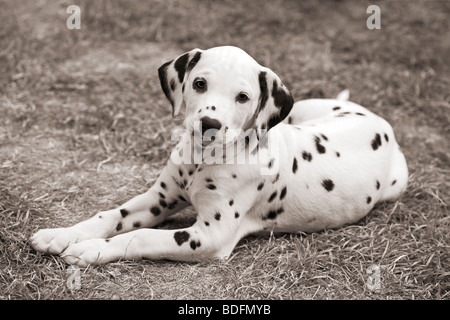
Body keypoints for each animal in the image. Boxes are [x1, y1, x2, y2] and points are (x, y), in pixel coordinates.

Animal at [29, 45, 410, 264]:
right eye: (199, 83)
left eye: (243, 97)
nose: (209, 124)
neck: (204, 159)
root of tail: (377, 120)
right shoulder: (158, 199)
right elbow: (109, 215)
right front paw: (62, 234)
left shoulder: (209, 237)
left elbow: (141, 236)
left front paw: (91, 249)